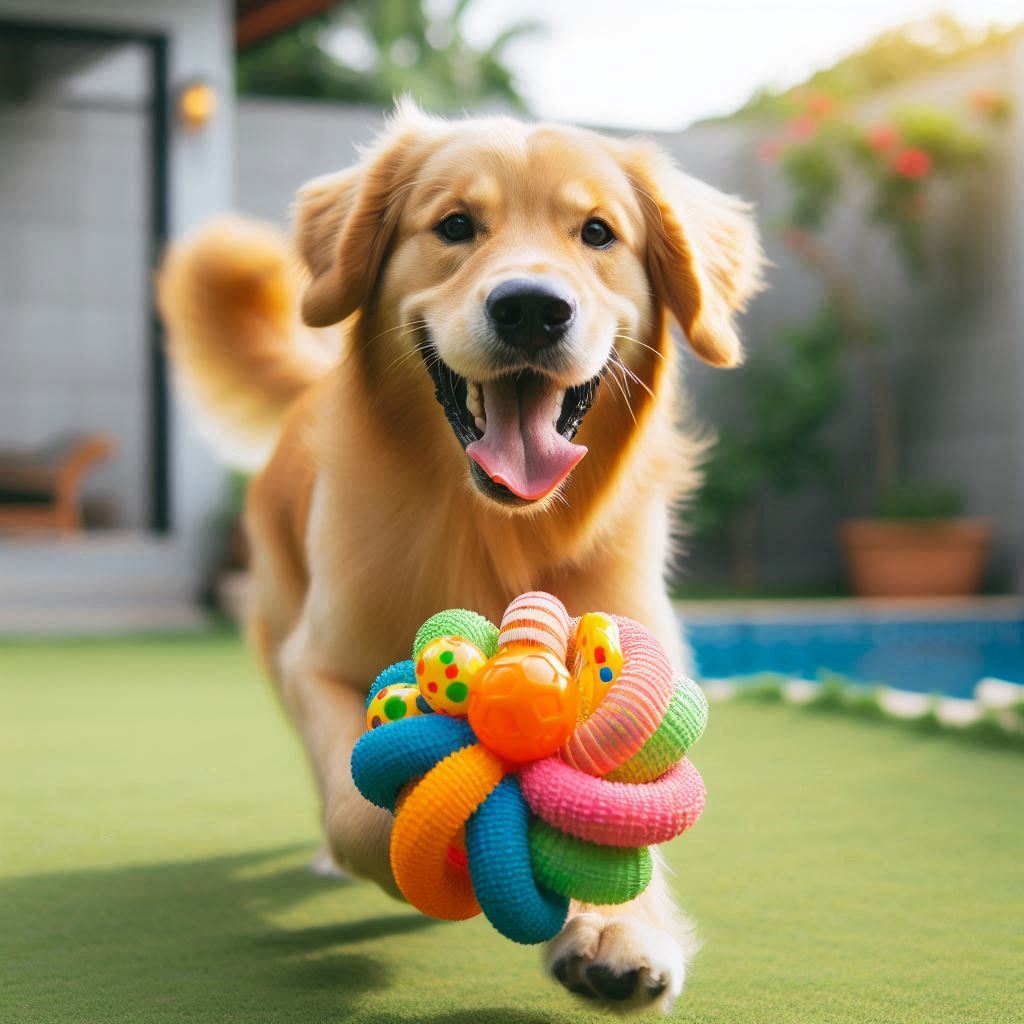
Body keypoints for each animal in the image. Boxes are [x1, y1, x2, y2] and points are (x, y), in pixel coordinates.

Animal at [159, 99, 765, 1011]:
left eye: (596, 232)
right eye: (454, 225)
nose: (532, 308)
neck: (496, 529)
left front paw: (620, 931)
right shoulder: (319, 664)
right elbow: (354, 801)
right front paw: (405, 848)